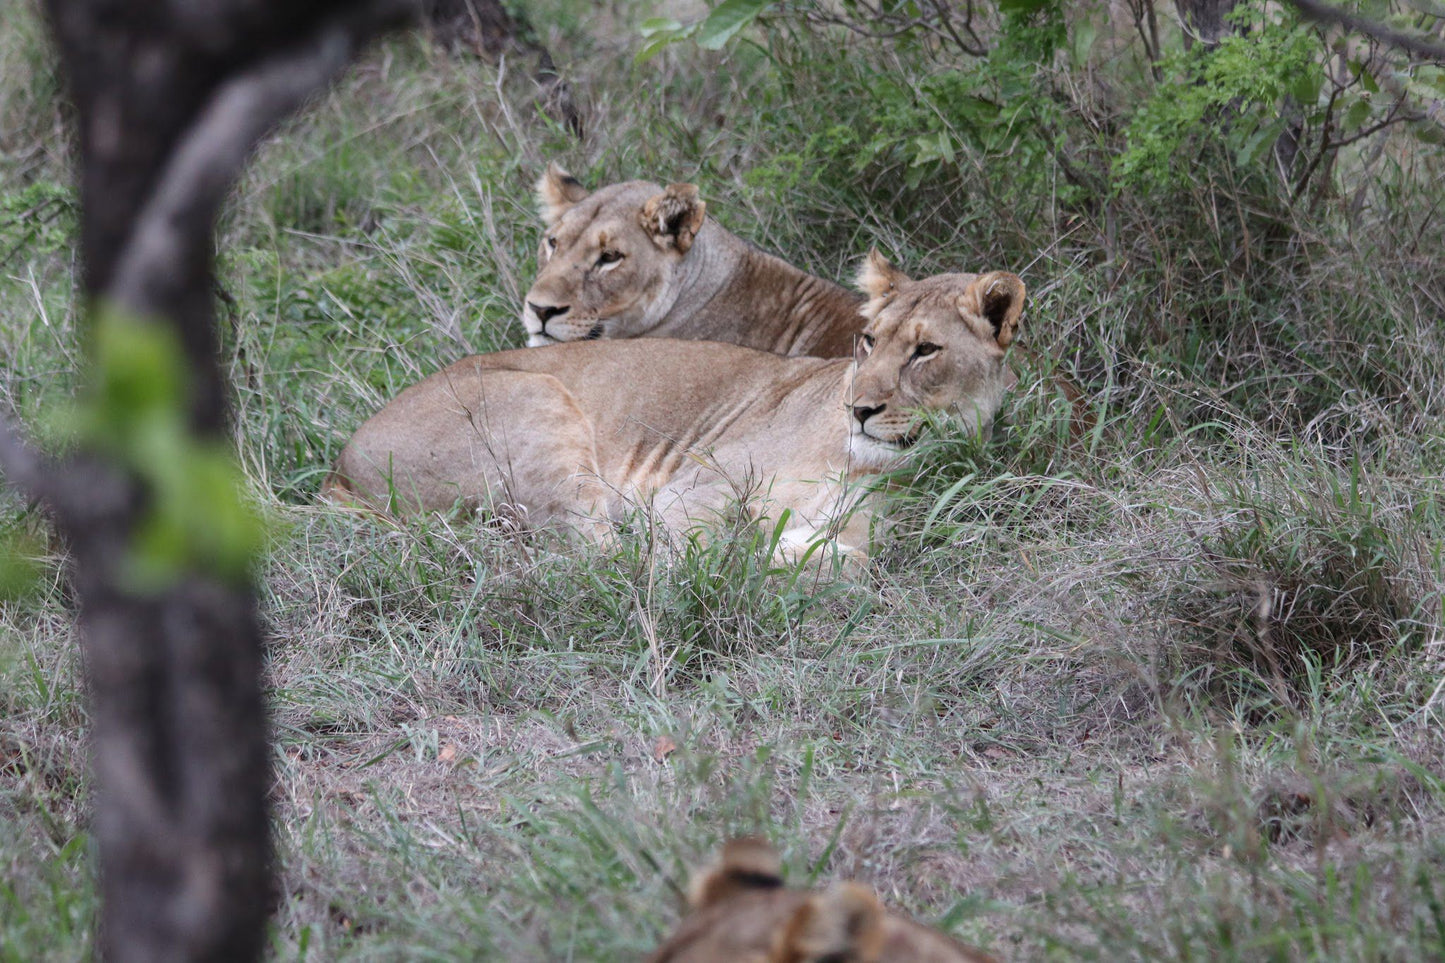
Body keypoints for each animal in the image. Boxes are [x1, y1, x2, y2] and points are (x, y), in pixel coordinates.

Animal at [329, 251, 1028, 558]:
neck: (861, 462)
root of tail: (342, 464)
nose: (858, 408)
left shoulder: (863, 533)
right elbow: (690, 550)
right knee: (593, 558)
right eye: (869, 341)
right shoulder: (692, 487)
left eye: (925, 352)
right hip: (537, 398)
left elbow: (840, 564)